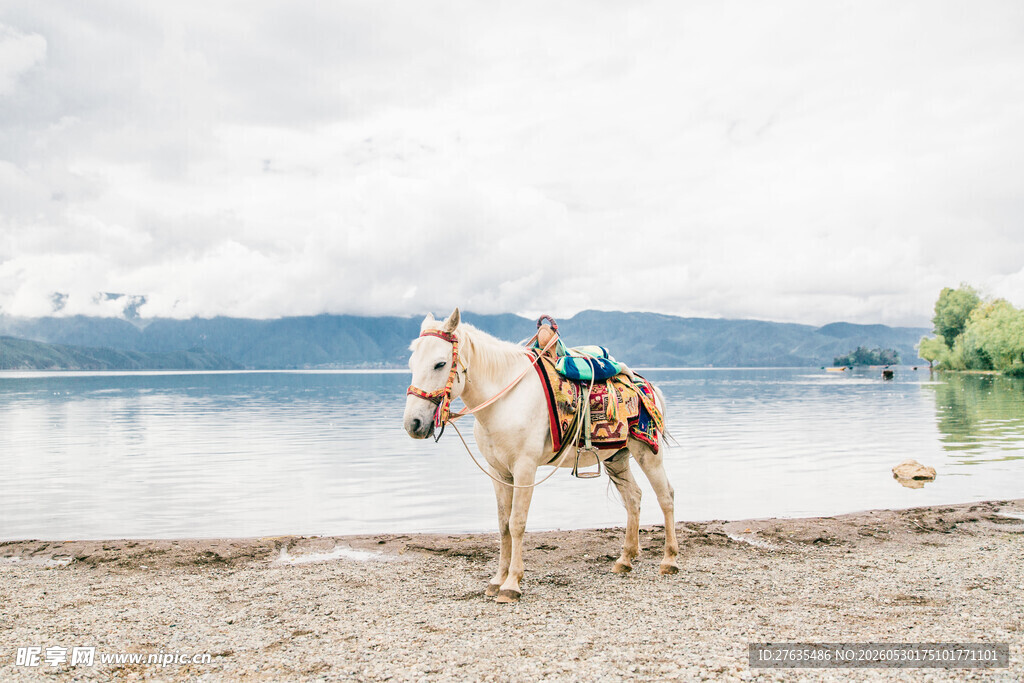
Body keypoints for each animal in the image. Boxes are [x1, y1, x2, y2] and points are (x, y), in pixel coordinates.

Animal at [403, 308, 679, 603]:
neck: (505, 400)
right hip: (617, 457)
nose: (413, 424)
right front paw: (497, 580)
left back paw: (669, 560)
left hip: (648, 453)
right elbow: (503, 524)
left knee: (666, 497)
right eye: (411, 363)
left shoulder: (524, 469)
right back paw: (625, 559)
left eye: (440, 364)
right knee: (633, 498)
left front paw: (512, 584)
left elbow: (517, 523)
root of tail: (644, 383)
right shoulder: (499, 473)